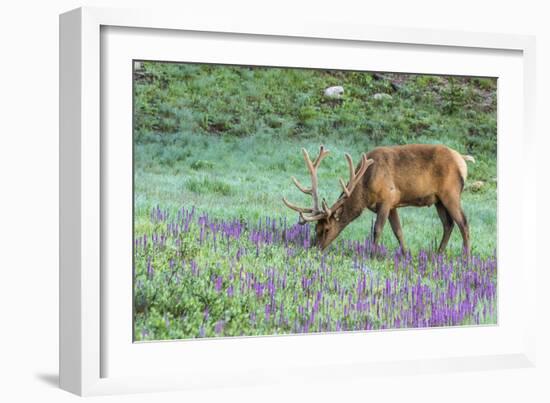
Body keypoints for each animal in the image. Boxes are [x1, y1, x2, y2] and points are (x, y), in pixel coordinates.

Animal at [282, 144, 476, 254]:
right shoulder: (393, 204)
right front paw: (405, 254)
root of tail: (462, 160)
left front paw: (373, 255)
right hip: (438, 200)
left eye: (327, 229)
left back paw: (466, 258)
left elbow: (378, 229)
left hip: (451, 193)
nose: (314, 248)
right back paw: (438, 254)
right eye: (316, 228)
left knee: (463, 223)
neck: (365, 188)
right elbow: (398, 231)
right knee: (448, 224)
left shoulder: (386, 199)